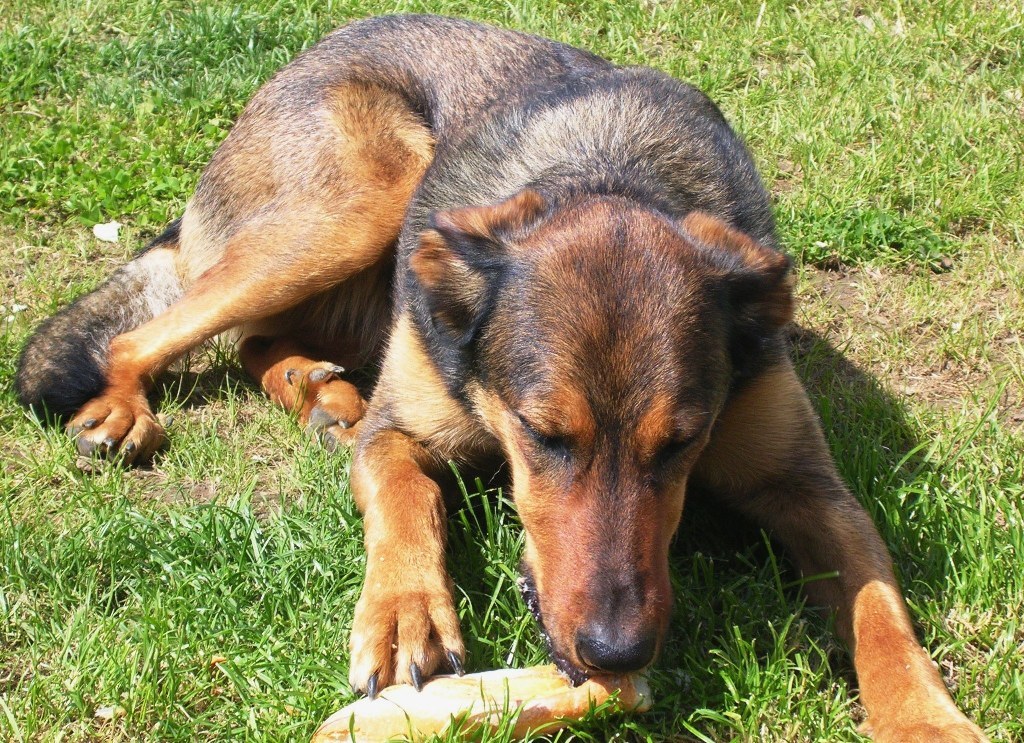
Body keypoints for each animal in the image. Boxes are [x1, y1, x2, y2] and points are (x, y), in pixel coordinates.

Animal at [16, 14, 987, 740]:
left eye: (682, 442)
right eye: (543, 434)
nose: (617, 653)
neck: (611, 174)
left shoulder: (813, 488)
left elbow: (881, 611)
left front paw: (927, 719)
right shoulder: (402, 432)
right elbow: (410, 496)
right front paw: (406, 611)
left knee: (259, 338)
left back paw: (318, 389)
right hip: (361, 196)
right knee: (151, 332)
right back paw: (125, 409)